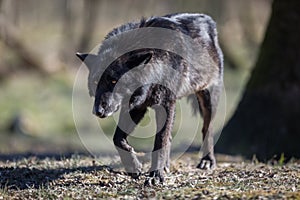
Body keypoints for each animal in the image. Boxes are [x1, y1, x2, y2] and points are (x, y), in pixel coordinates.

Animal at [77, 12, 223, 184]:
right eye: (95, 82)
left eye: (113, 81)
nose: (97, 111)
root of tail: (207, 18)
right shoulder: (136, 106)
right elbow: (117, 138)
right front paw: (134, 166)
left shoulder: (165, 103)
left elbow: (160, 140)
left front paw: (155, 175)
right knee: (170, 136)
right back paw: (166, 165)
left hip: (208, 99)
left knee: (207, 129)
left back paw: (207, 160)